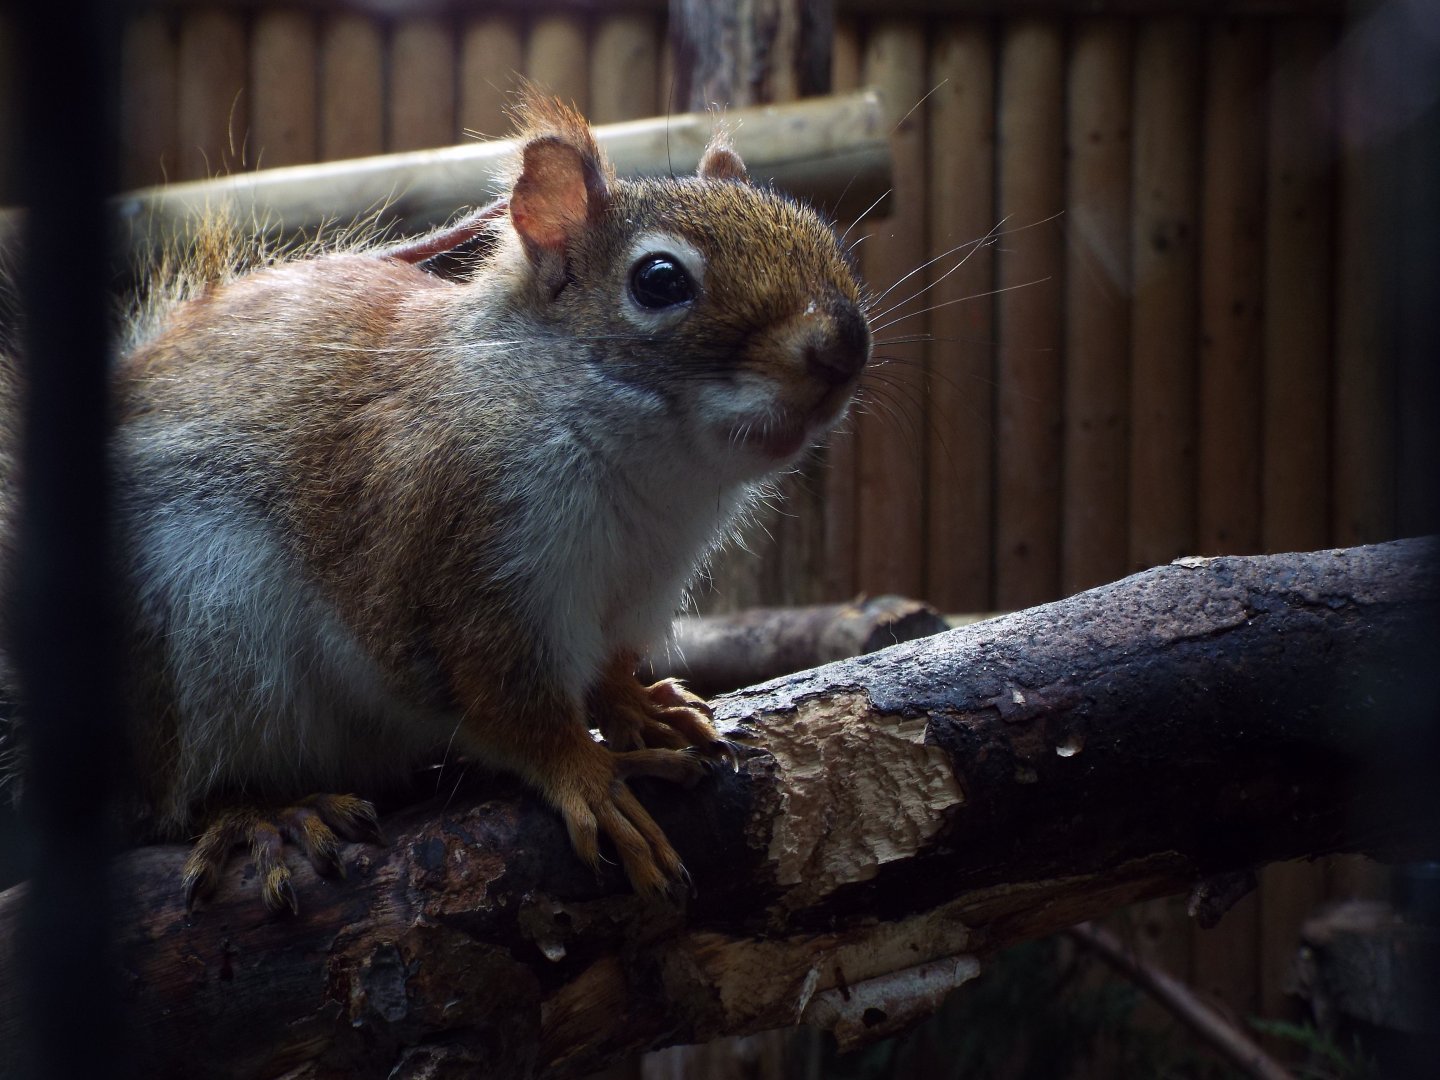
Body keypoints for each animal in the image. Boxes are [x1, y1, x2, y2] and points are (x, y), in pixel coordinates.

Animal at [0, 96, 870, 911]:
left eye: (817, 229)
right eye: (660, 281)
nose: (845, 345)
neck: (655, 469)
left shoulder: (640, 585)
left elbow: (608, 666)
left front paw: (639, 705)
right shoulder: (456, 547)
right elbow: (504, 703)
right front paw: (590, 775)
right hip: (201, 639)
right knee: (185, 791)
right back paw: (265, 814)